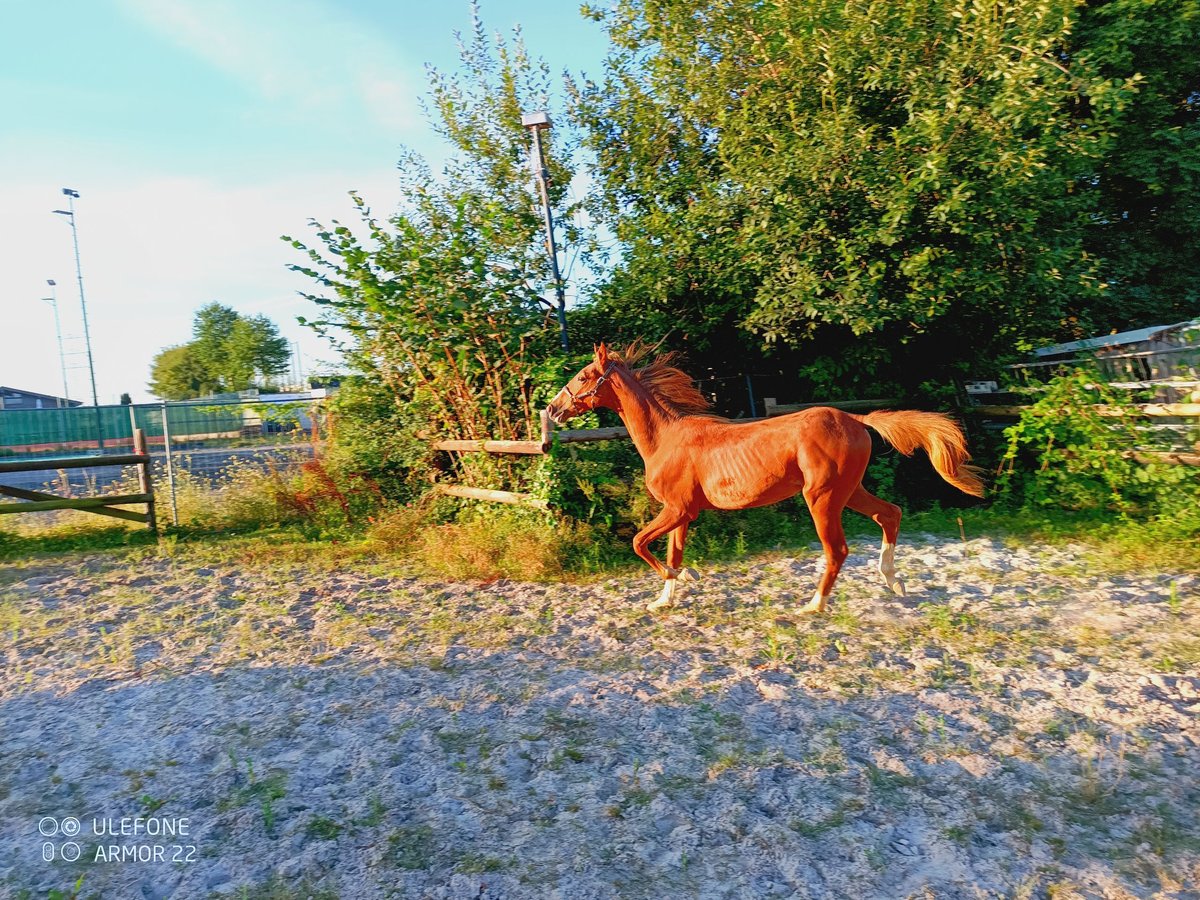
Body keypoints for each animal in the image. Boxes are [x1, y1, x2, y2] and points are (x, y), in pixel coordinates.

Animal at [547, 343, 984, 614]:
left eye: (584, 375)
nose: (552, 408)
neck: (665, 439)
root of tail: (854, 418)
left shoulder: (678, 509)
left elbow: (640, 543)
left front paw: (687, 576)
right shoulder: (681, 513)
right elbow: (669, 552)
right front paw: (665, 600)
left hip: (822, 498)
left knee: (838, 550)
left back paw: (814, 606)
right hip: (850, 491)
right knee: (889, 514)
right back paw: (894, 582)